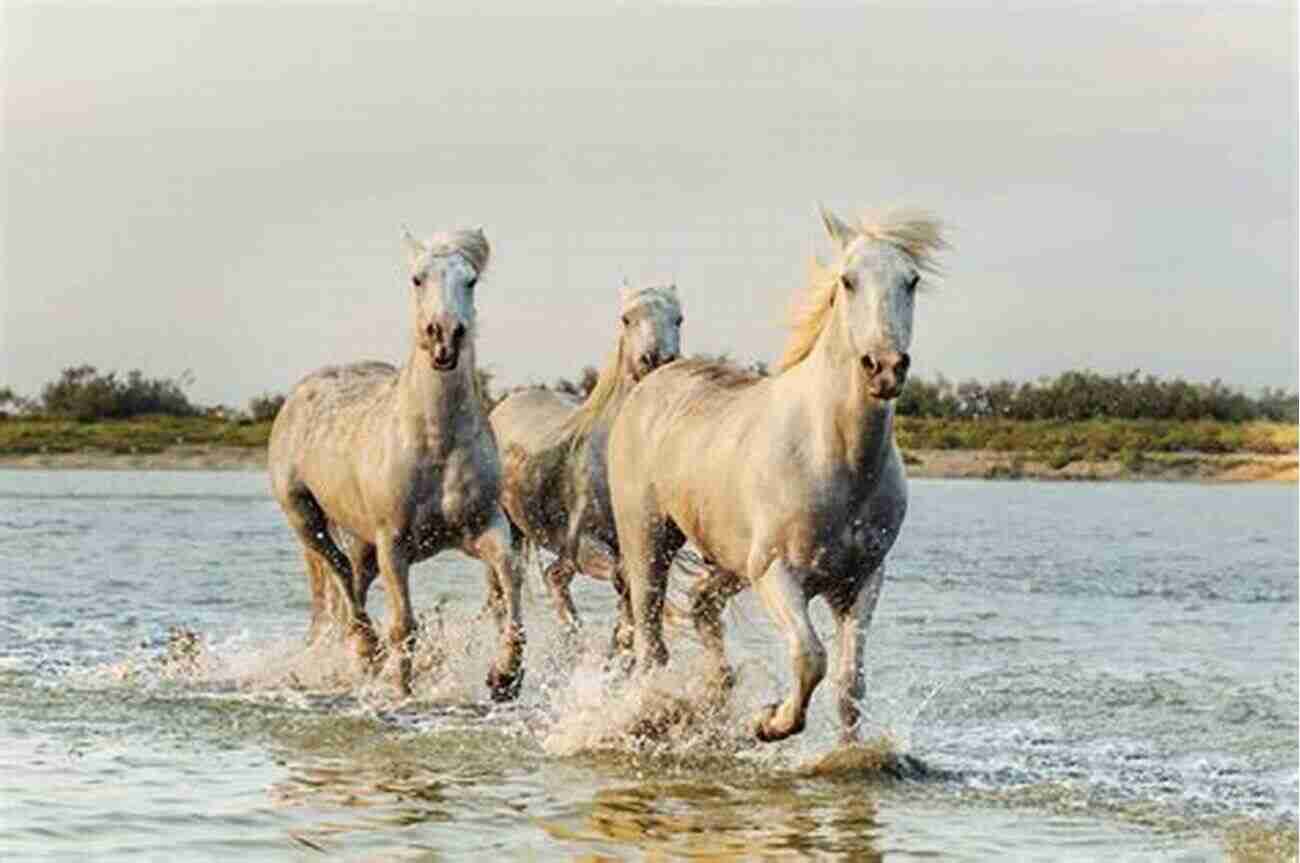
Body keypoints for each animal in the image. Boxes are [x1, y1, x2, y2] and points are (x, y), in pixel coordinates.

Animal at [266, 227, 525, 701]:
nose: (444, 337)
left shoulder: (486, 527)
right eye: (417, 278)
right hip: (305, 518)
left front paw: (506, 677)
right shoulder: (394, 544)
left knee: (353, 580)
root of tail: (302, 391)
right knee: (341, 578)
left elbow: (510, 583)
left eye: (471, 280)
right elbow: (405, 625)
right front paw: (402, 692)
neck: (436, 445)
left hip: (361, 540)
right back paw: (367, 651)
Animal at [608, 207, 946, 743]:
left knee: (701, 606)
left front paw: (846, 751)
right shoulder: (777, 574)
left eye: (911, 280)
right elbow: (811, 658)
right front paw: (769, 722)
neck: (838, 457)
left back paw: (716, 692)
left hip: (727, 558)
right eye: (847, 281)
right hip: (648, 543)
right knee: (650, 641)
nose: (885, 368)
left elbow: (850, 684)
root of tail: (652, 380)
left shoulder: (862, 580)